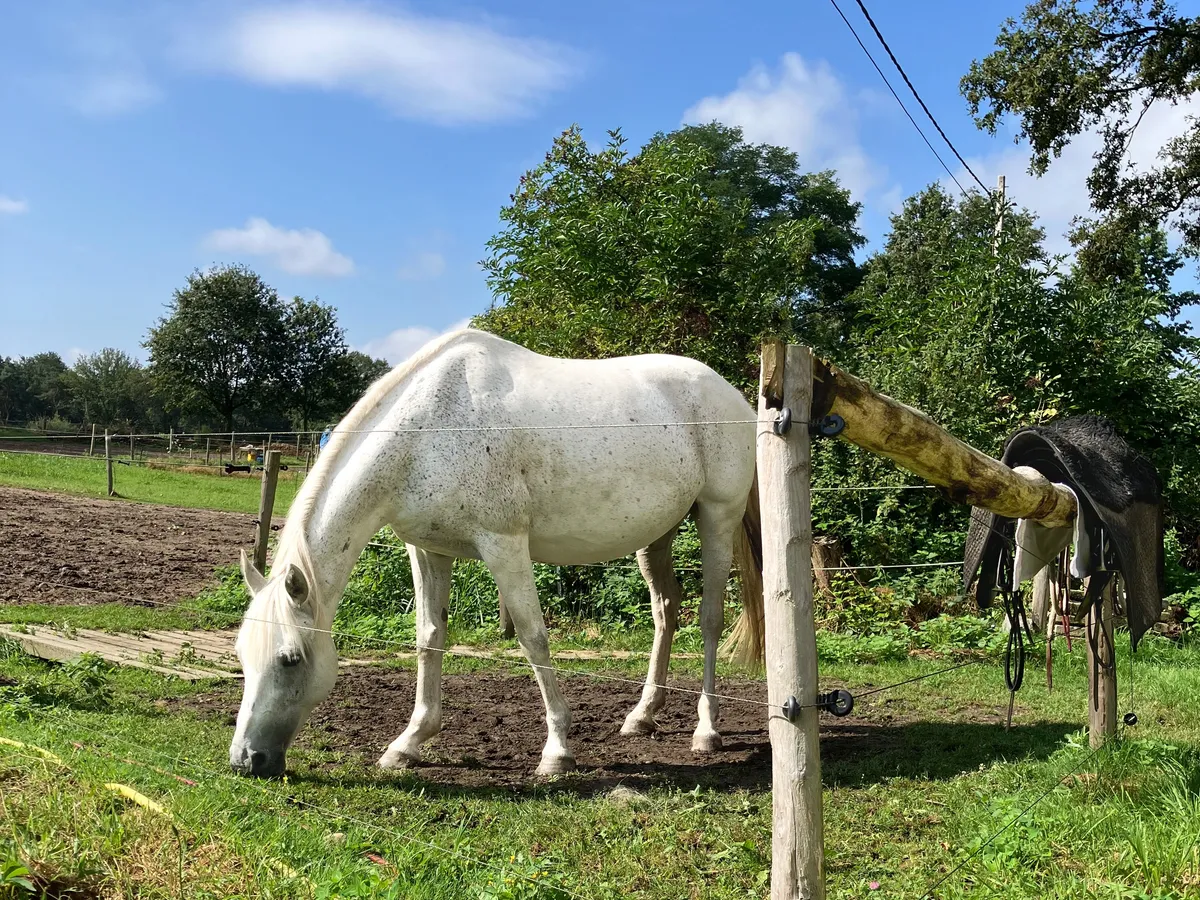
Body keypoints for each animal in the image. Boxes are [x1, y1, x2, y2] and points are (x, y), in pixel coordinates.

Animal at [230, 328, 766, 778]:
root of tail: (732, 394)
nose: (246, 760)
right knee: (666, 609)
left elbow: (533, 637)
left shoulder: (503, 543)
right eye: (241, 654)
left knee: (710, 619)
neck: (428, 431)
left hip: (717, 517)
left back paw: (706, 730)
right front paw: (409, 743)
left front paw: (556, 752)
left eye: (289, 659)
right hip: (657, 534)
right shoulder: (427, 550)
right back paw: (642, 716)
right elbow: (429, 637)